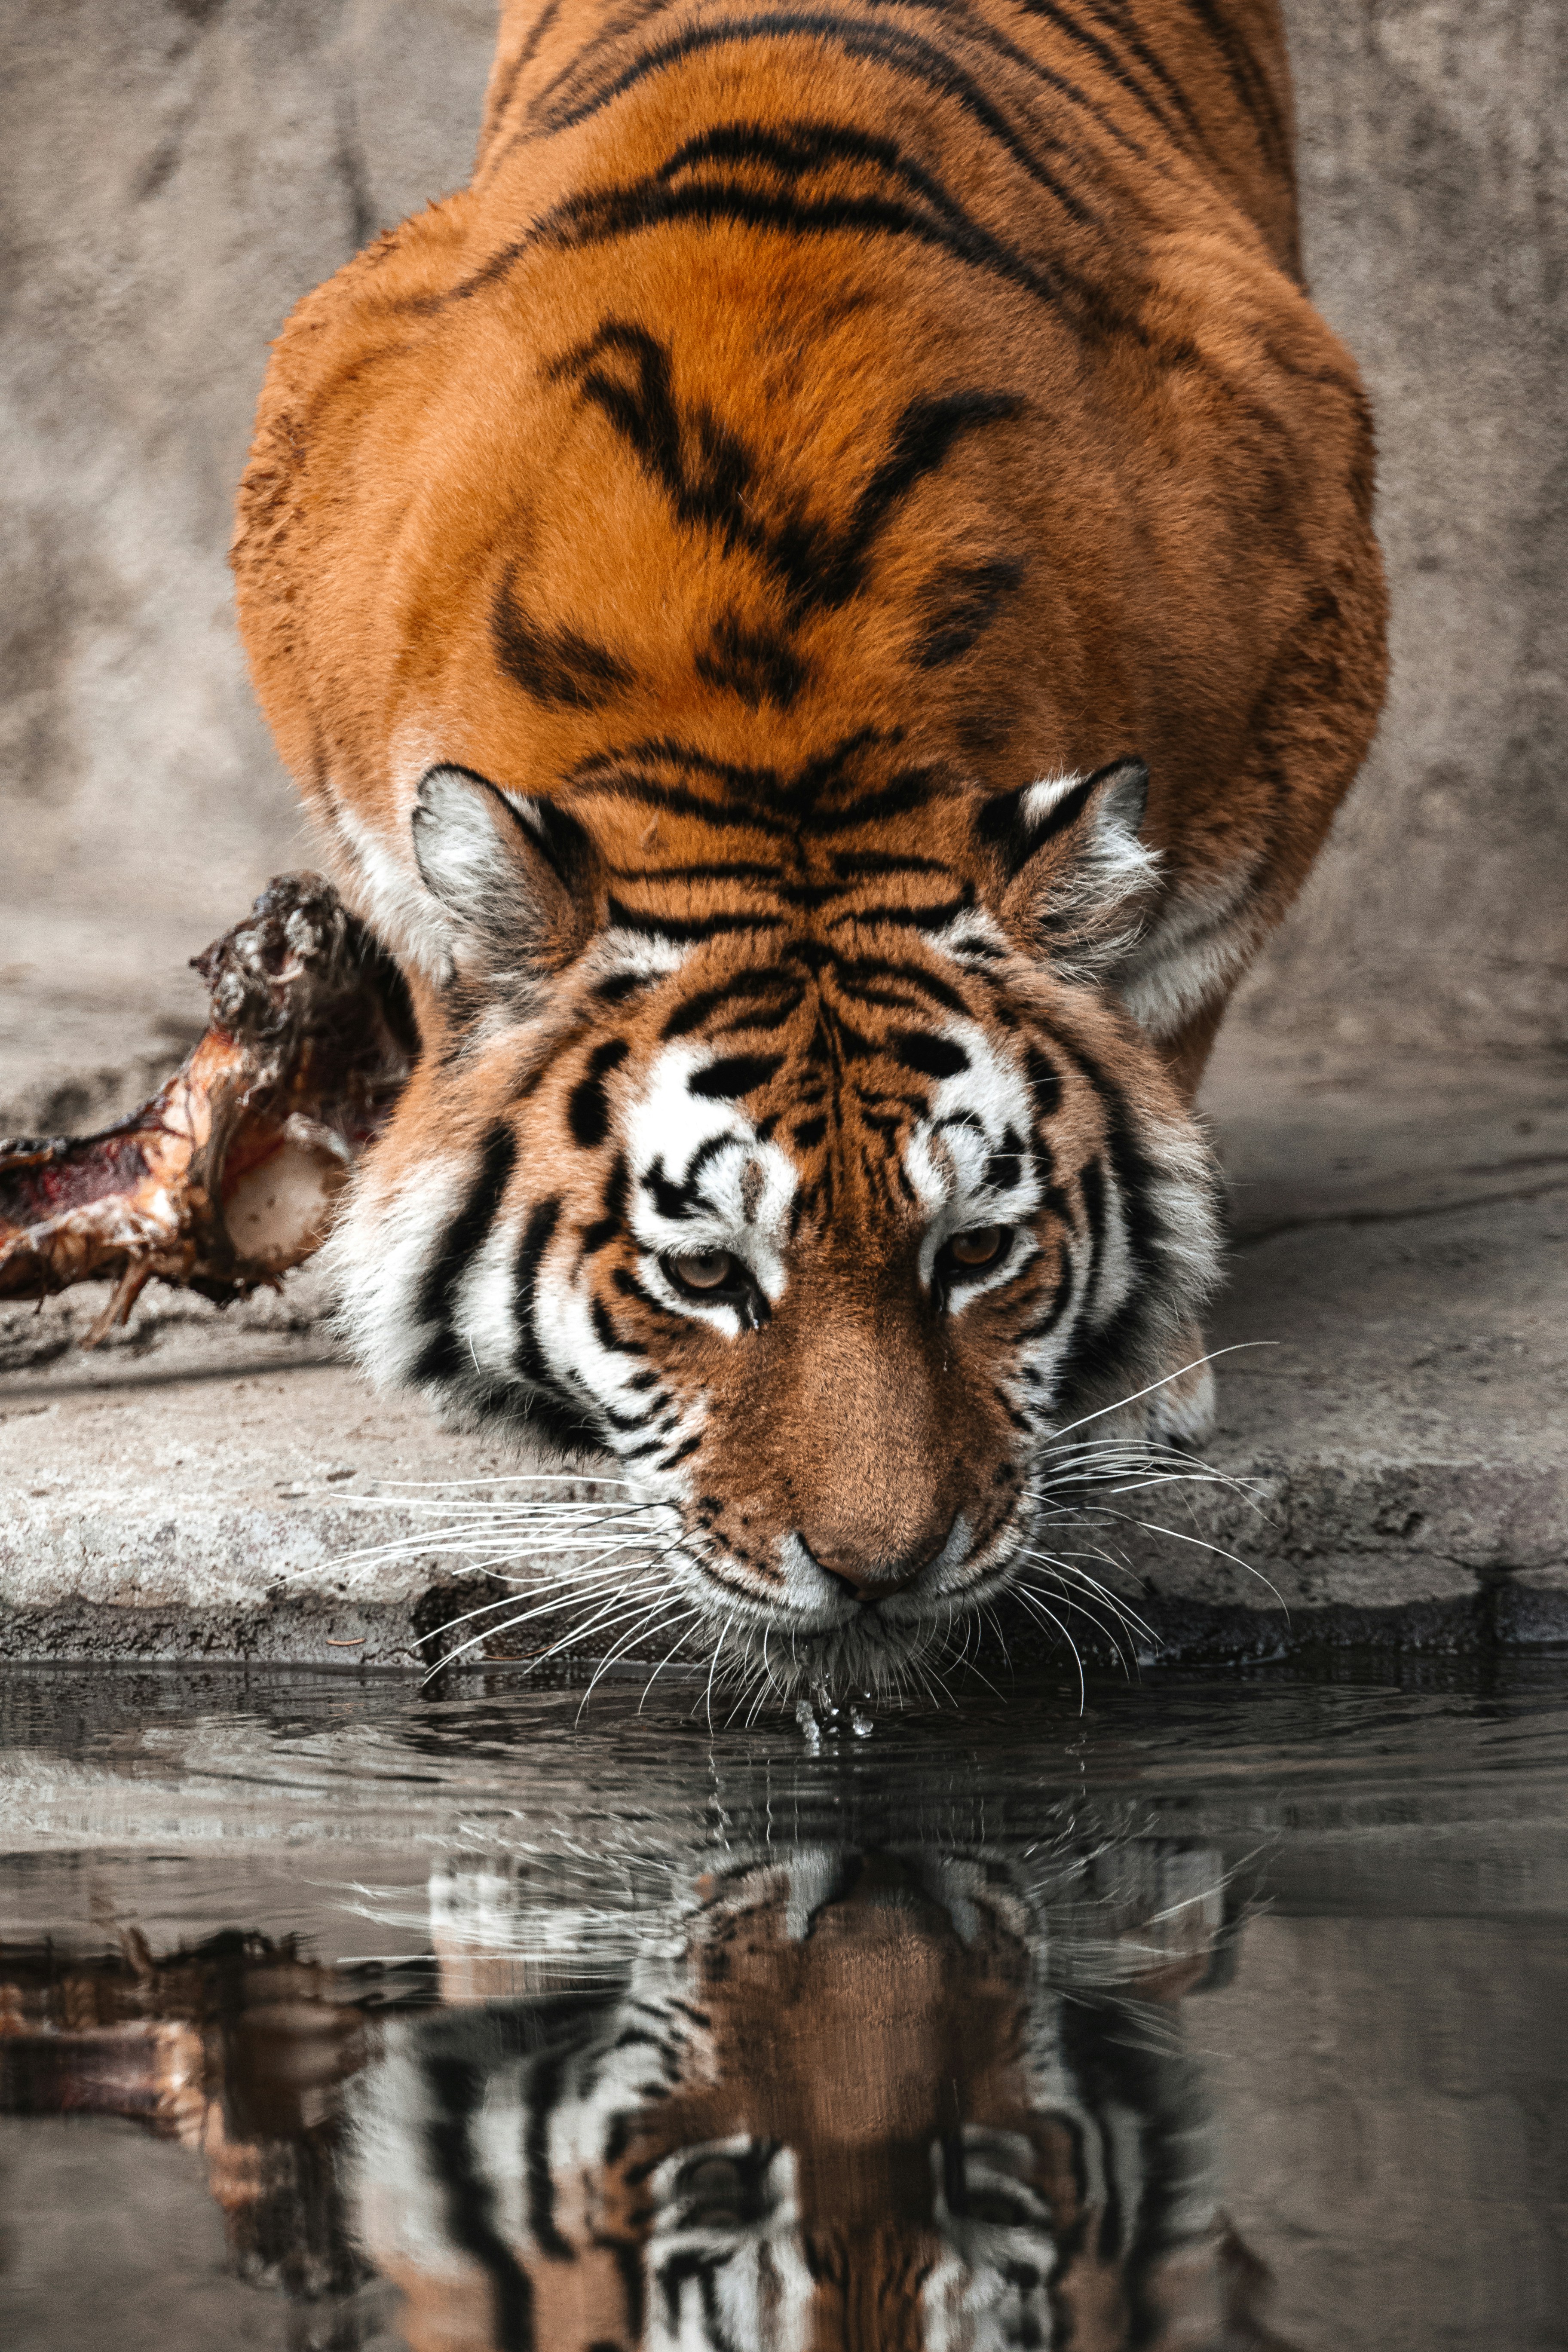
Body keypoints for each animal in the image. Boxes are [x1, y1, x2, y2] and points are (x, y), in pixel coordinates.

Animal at [231, 0, 1387, 1687]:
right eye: (705, 1277)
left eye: (975, 1252)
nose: (878, 1572)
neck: (779, 740)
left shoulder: (1292, 691)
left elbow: (1160, 1028)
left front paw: (1135, 1371)